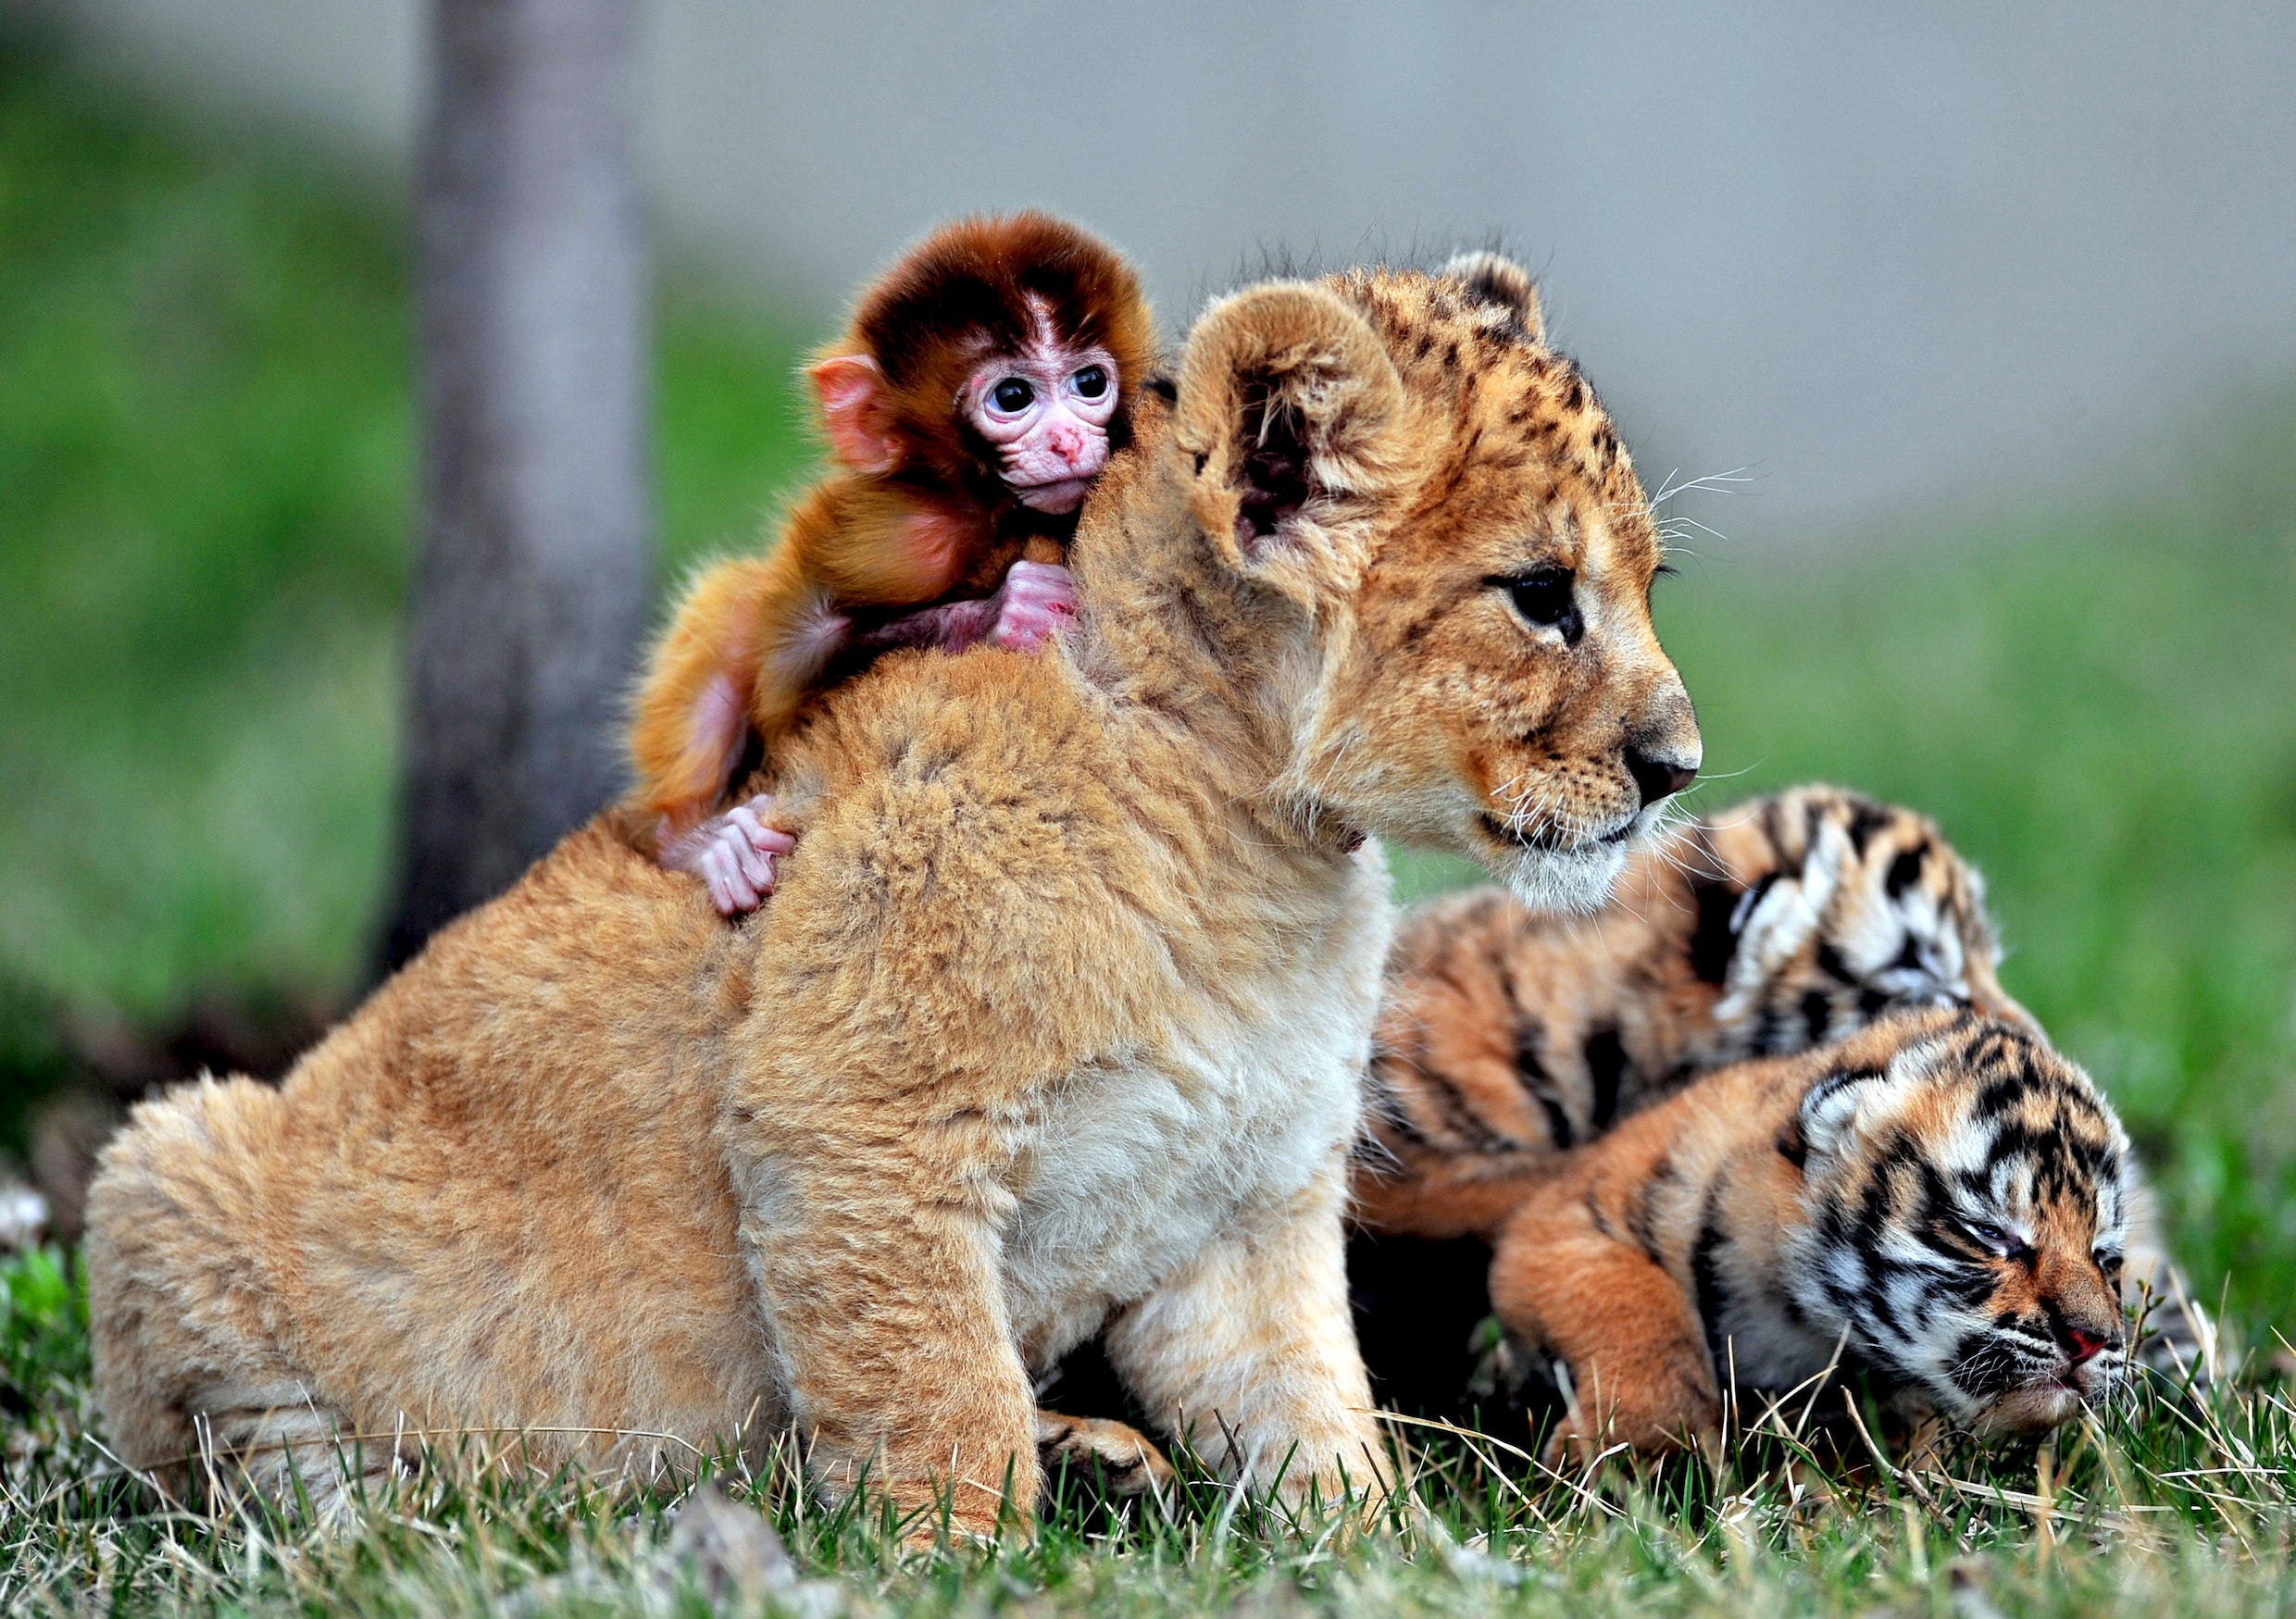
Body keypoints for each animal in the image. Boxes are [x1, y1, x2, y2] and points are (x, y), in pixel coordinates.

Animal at [629, 213, 1156, 909]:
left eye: (1090, 384)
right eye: (1013, 395)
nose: (1068, 440)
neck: (991, 509)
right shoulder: (905, 541)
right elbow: (790, 662)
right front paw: (1007, 610)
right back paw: (693, 840)